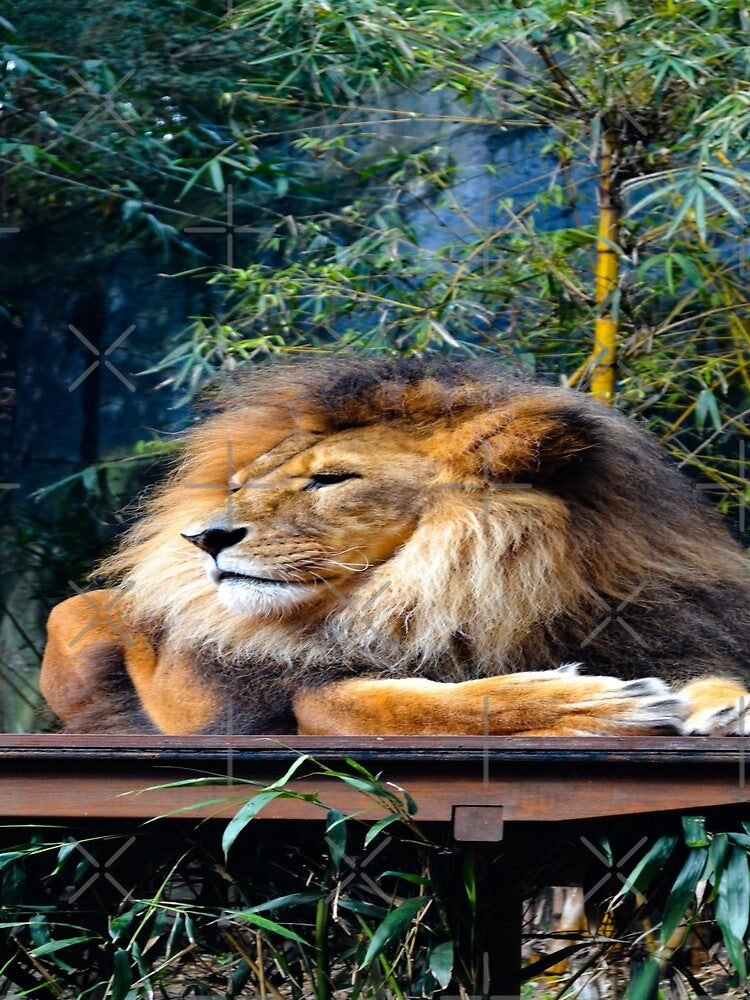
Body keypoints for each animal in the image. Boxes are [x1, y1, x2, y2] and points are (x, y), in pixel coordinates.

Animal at [40, 358, 750, 736]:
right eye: (239, 486)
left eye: (332, 479)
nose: (203, 537)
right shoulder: (290, 701)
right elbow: (392, 703)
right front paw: (603, 703)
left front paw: (724, 704)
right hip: (75, 613)